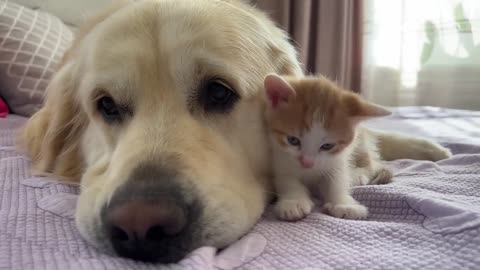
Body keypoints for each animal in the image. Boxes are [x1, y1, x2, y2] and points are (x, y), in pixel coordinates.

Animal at [262, 73, 394, 220]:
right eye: (293, 140)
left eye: (327, 146)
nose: (307, 163)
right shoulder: (280, 158)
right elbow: (287, 180)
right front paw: (294, 202)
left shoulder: (338, 158)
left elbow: (337, 179)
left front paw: (344, 204)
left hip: (361, 142)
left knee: (371, 164)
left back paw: (357, 175)